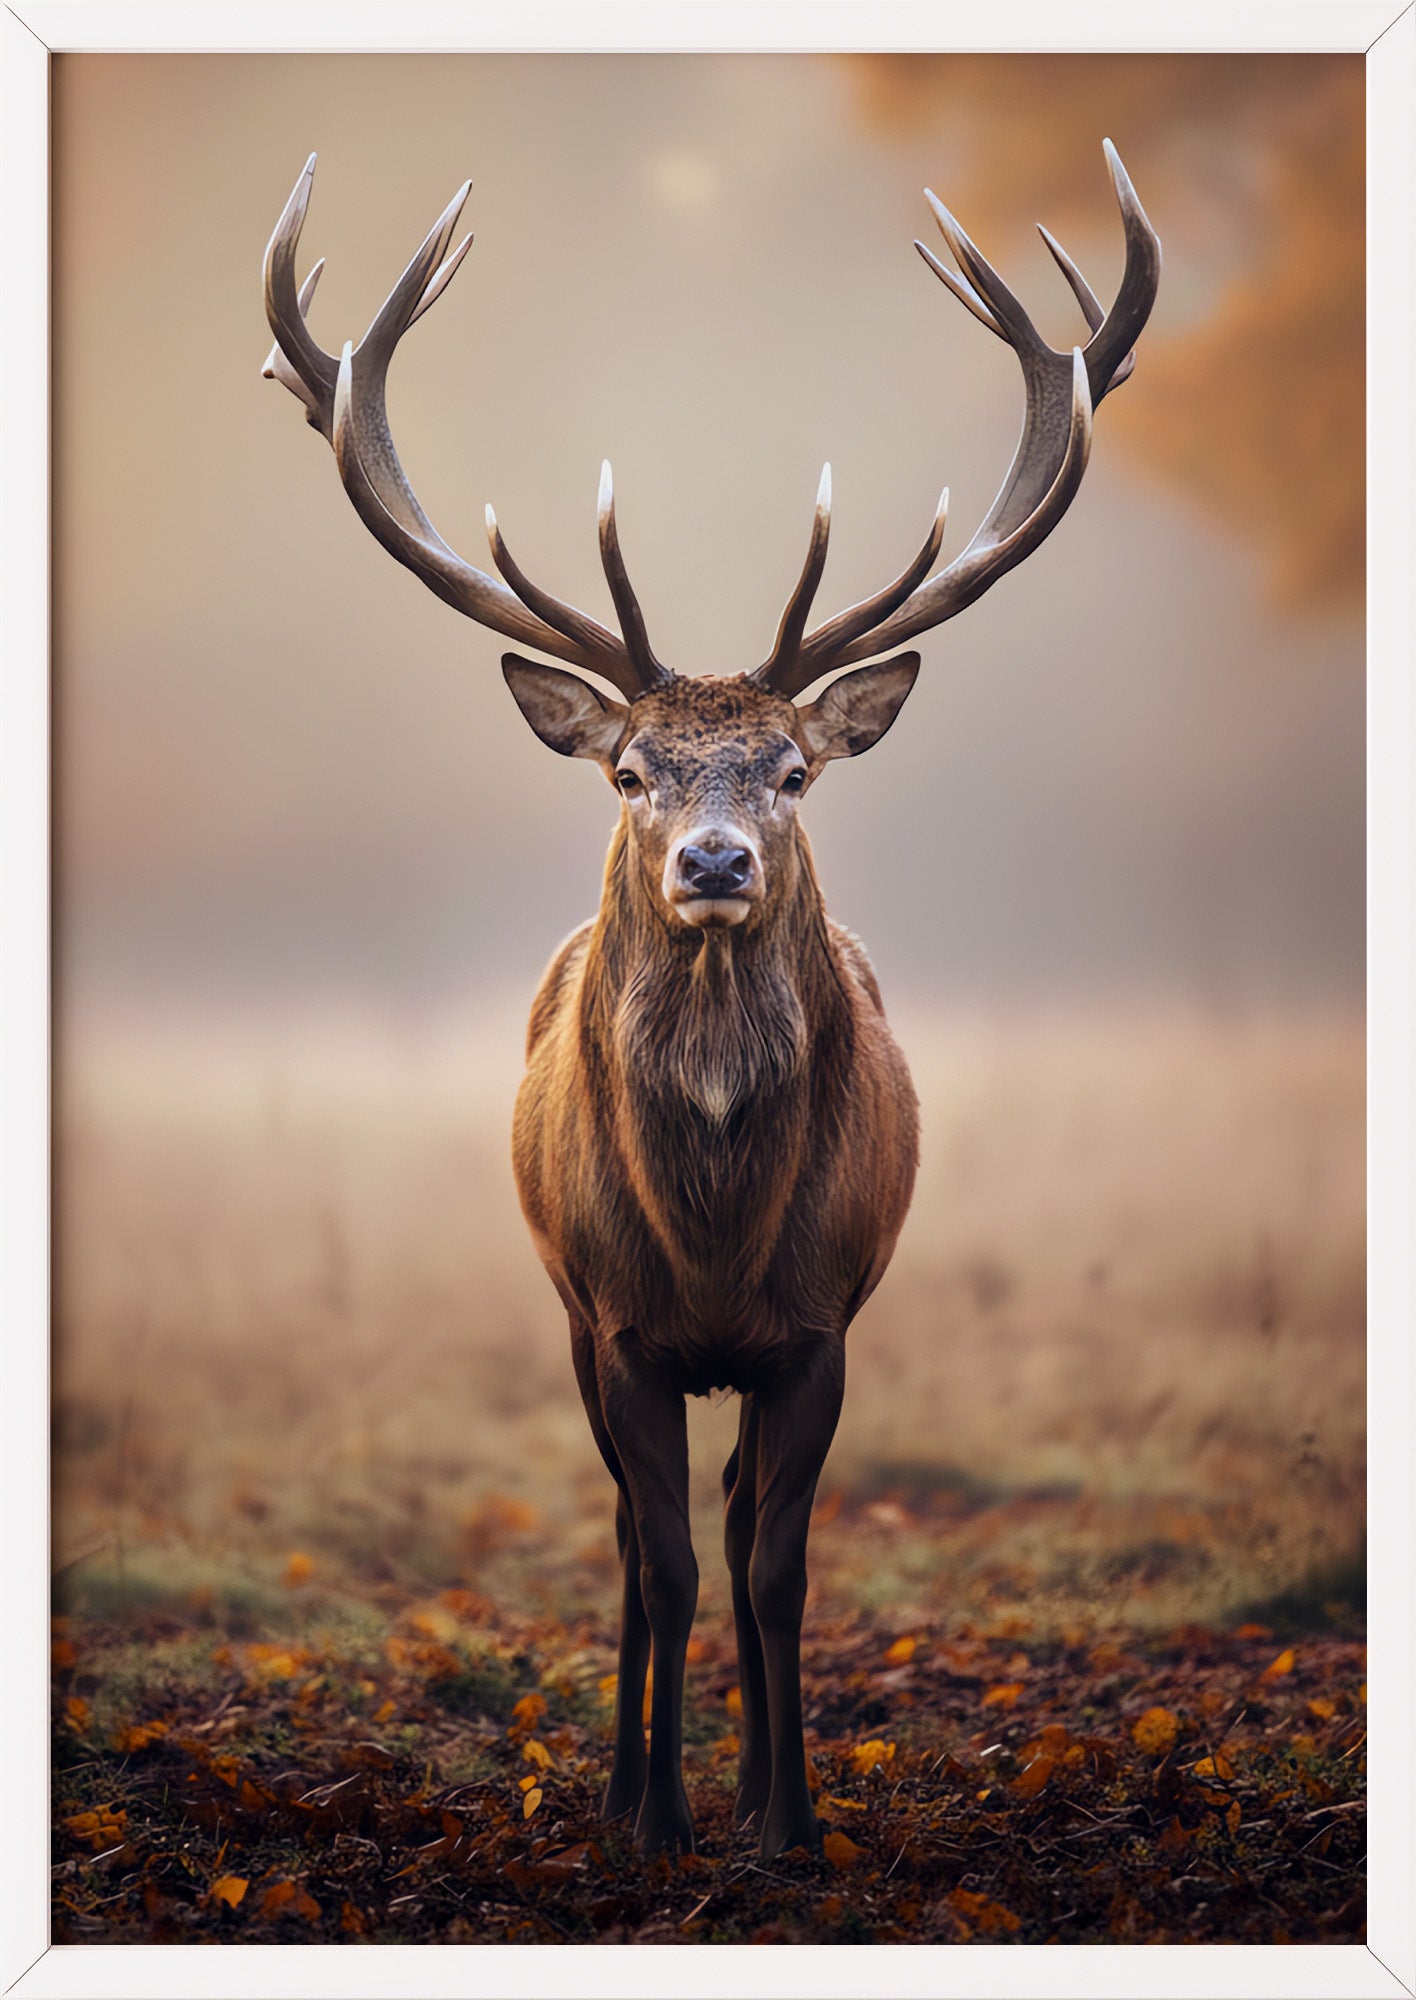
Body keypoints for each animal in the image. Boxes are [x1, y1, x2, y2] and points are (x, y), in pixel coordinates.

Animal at [262, 143, 1159, 1859]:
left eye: (794, 769)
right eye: (630, 770)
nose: (718, 859)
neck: (719, 1232)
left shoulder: (819, 1324)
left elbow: (776, 1567)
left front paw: (785, 1819)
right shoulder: (615, 1320)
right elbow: (661, 1561)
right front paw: (654, 1816)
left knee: (740, 1530)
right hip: (565, 1308)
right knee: (635, 1540)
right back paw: (636, 1782)